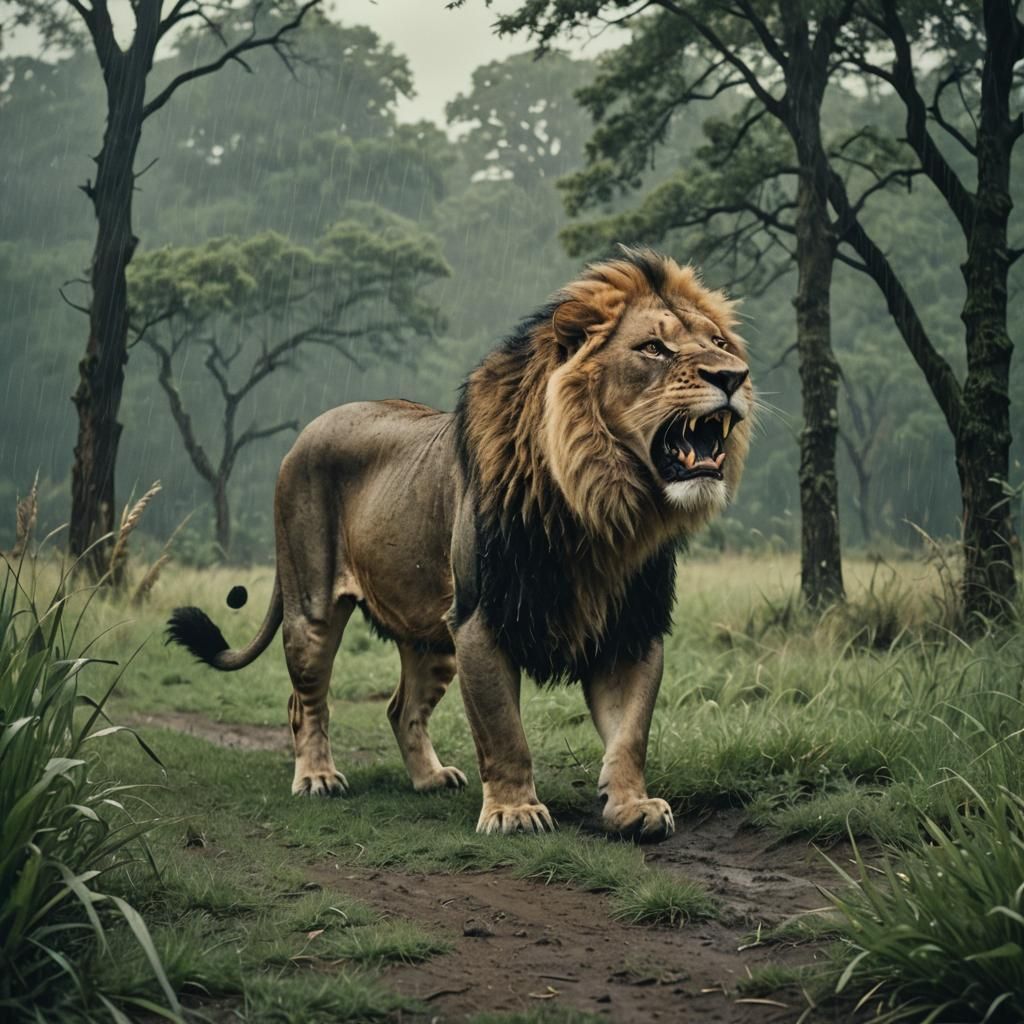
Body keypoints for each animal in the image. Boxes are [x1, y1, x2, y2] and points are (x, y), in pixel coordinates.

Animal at [167, 247, 753, 841]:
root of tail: (306, 432)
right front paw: (515, 812)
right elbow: (503, 732)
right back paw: (317, 777)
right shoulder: (479, 619)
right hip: (312, 607)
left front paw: (633, 806)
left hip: (430, 638)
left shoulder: (634, 626)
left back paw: (429, 778)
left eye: (720, 343)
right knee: (304, 701)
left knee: (400, 708)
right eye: (653, 348)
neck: (601, 507)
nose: (733, 376)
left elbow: (630, 733)